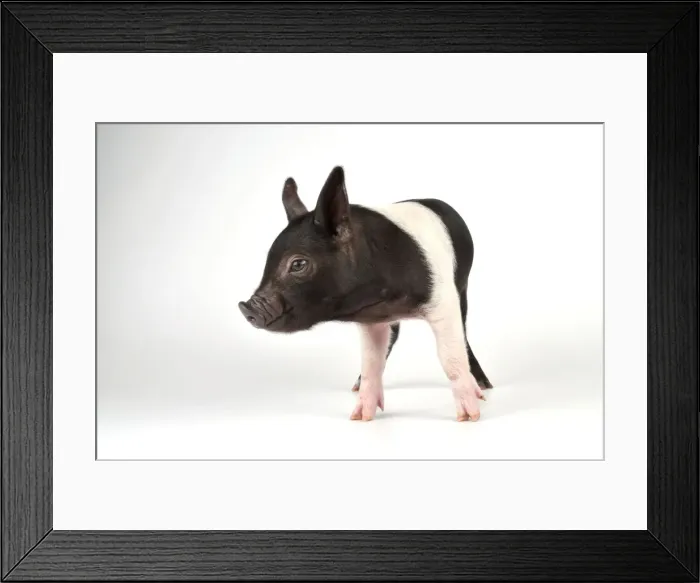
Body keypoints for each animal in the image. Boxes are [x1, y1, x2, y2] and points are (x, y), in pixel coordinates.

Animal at [239, 165, 493, 422]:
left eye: (298, 264)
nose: (246, 307)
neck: (381, 300)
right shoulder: (373, 320)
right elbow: (371, 363)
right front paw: (360, 417)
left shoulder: (442, 300)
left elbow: (450, 356)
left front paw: (469, 417)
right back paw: (355, 386)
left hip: (462, 286)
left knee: (463, 334)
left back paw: (484, 387)